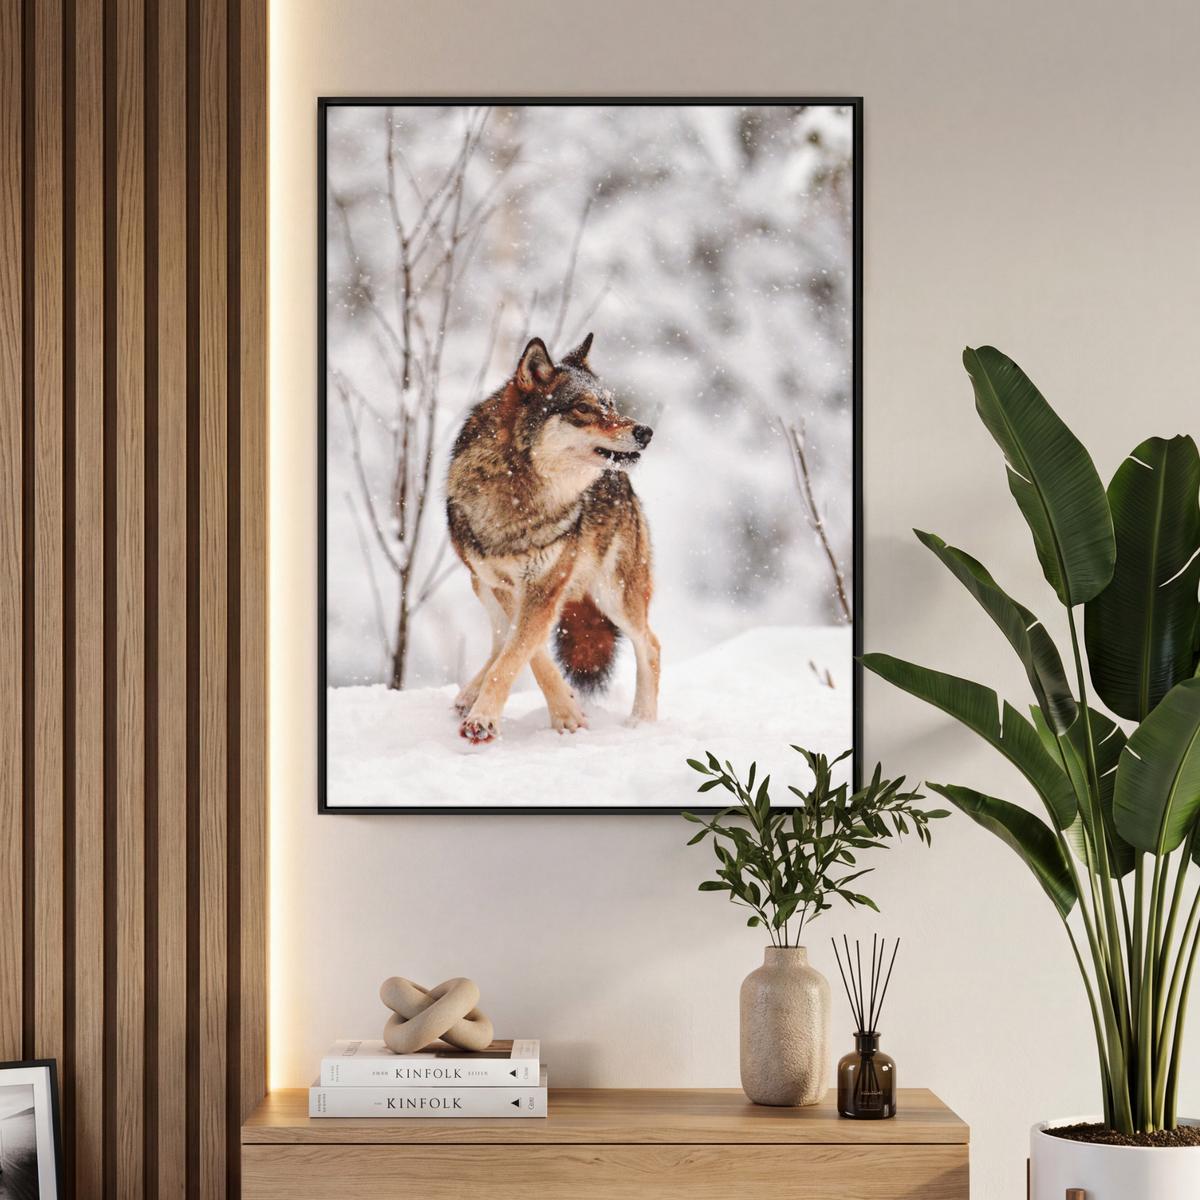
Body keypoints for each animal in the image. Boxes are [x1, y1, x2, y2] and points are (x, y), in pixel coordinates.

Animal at [446, 332, 659, 744]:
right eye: (584, 408)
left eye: (611, 404)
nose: (645, 431)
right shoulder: (507, 585)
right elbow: (525, 653)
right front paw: (565, 710)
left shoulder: (544, 586)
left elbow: (517, 655)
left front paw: (486, 720)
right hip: (480, 584)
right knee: (499, 639)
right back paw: (468, 695)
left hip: (614, 595)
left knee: (651, 645)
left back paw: (642, 722)